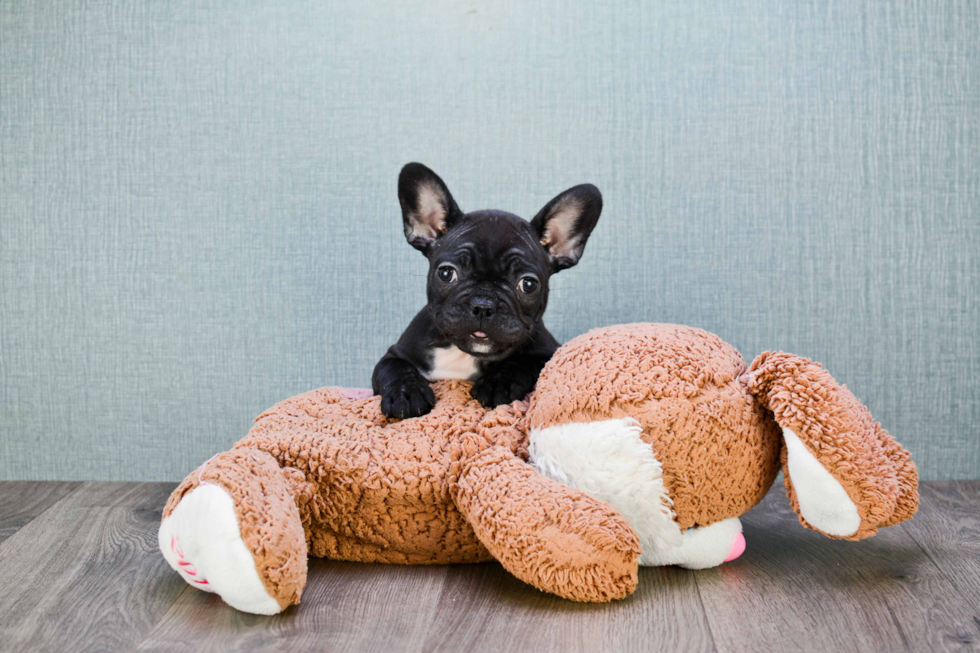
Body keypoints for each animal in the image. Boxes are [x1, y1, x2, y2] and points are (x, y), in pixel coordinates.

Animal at [372, 163, 600, 418]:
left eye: (528, 284)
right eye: (446, 273)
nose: (483, 304)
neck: (465, 354)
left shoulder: (548, 350)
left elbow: (522, 362)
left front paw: (497, 383)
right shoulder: (396, 353)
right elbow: (394, 367)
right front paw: (406, 394)